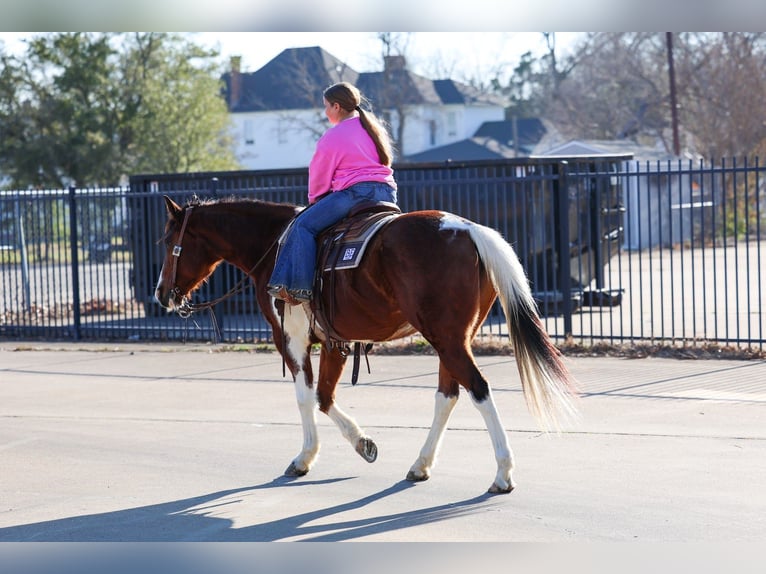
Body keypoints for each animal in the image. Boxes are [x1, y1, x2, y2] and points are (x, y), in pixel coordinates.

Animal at [154, 195, 579, 494]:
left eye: (169, 240)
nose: (160, 293)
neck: (273, 245)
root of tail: (468, 229)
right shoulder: (334, 341)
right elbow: (325, 397)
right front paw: (363, 443)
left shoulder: (290, 338)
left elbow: (306, 397)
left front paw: (305, 457)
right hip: (453, 339)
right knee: (448, 395)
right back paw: (421, 464)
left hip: (447, 338)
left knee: (478, 389)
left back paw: (503, 473)